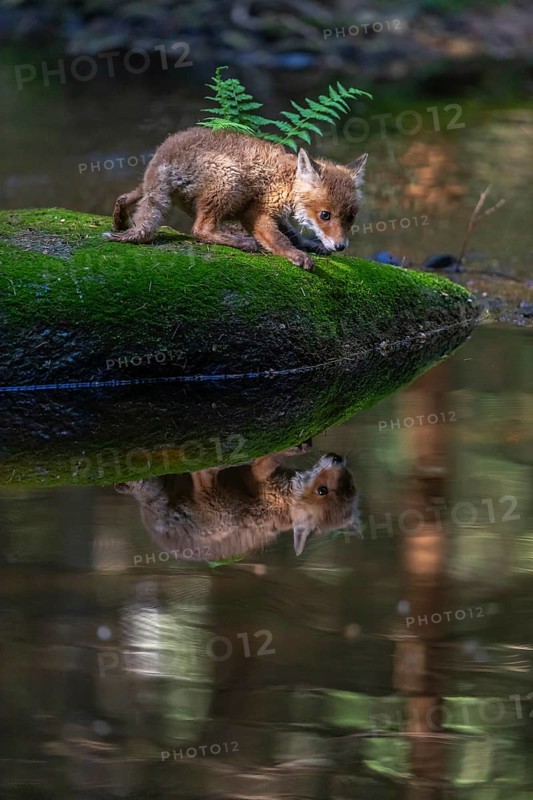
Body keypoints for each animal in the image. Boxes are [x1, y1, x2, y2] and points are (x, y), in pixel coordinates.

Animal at [105, 127, 367, 270]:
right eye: (325, 215)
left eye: (351, 218)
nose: (340, 246)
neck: (286, 181)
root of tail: (163, 156)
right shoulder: (254, 212)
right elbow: (280, 239)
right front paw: (296, 255)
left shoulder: (278, 215)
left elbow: (293, 234)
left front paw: (310, 245)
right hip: (230, 182)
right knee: (200, 230)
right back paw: (244, 243)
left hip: (148, 189)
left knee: (125, 198)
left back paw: (120, 222)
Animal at [115, 449, 361, 560]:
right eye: (349, 483)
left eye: (322, 490)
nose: (337, 458)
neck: (284, 500)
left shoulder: (260, 478)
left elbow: (269, 458)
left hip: (220, 512)